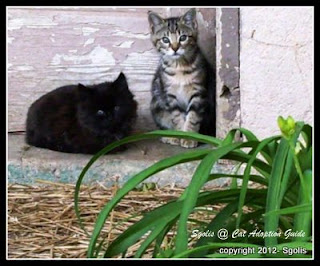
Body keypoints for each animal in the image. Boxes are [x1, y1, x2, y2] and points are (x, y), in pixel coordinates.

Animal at [148, 8, 215, 148]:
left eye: (183, 37)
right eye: (165, 39)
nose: (175, 48)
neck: (179, 67)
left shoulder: (198, 93)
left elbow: (193, 117)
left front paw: (189, 138)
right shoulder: (170, 96)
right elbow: (177, 117)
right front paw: (180, 135)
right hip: (156, 105)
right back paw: (170, 136)